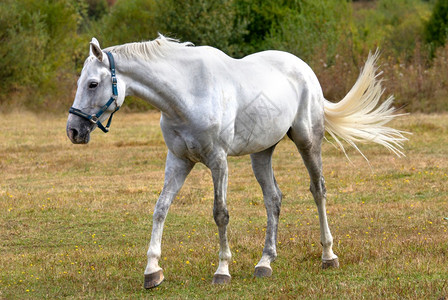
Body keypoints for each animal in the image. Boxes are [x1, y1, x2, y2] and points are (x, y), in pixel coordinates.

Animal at [65, 35, 406, 288]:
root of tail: (303, 68)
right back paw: (265, 262)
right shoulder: (178, 161)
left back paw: (328, 256)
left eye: (92, 84)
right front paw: (152, 271)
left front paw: (222, 270)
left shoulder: (218, 161)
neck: (186, 94)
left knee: (318, 190)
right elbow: (160, 209)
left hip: (308, 142)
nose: (73, 131)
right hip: (261, 154)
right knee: (273, 199)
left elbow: (220, 213)